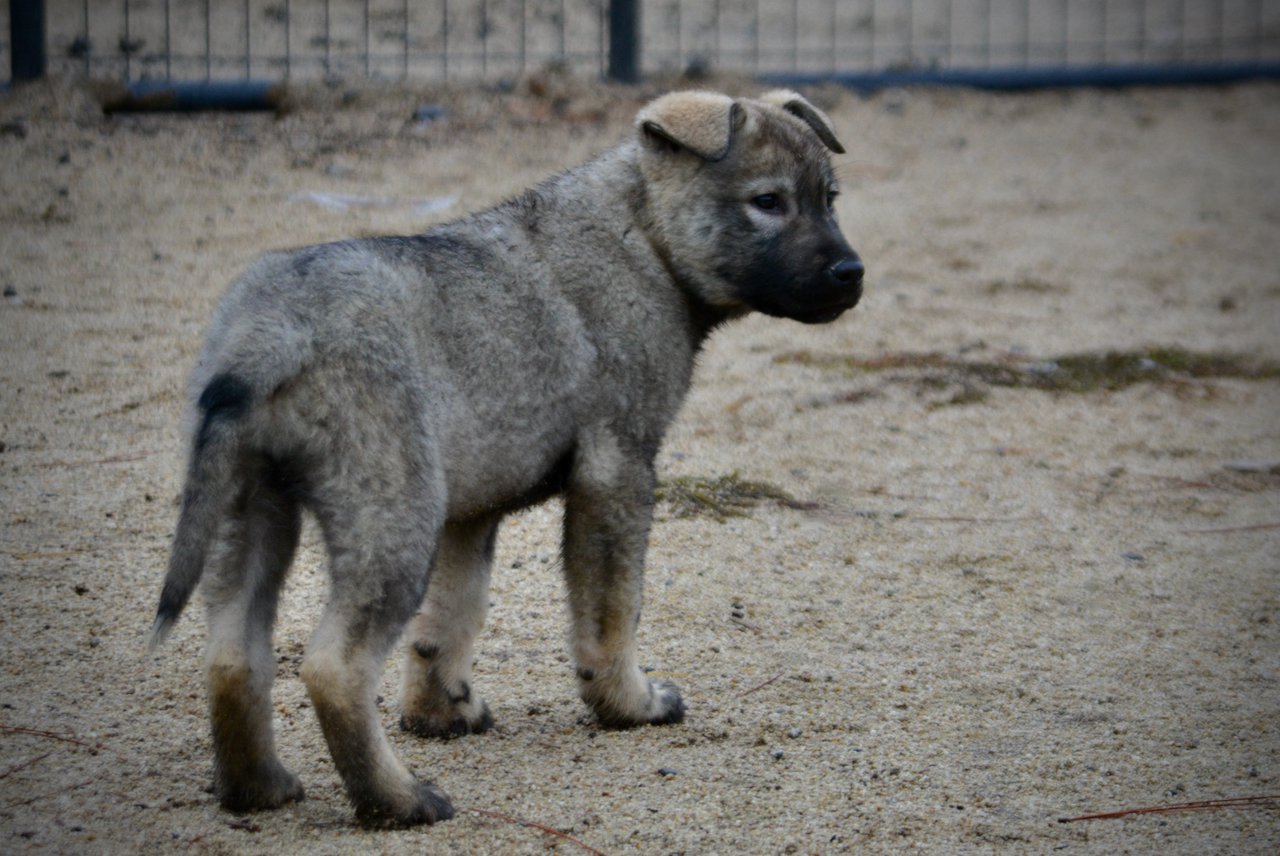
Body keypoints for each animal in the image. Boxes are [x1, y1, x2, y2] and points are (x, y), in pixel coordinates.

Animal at [154, 90, 865, 824]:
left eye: (829, 198)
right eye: (768, 201)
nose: (852, 274)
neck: (645, 235)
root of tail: (271, 331)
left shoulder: (470, 513)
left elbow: (452, 617)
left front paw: (441, 713)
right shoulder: (617, 469)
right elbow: (613, 610)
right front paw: (629, 704)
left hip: (249, 509)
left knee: (232, 656)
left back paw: (259, 787)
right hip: (392, 517)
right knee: (333, 667)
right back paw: (398, 800)